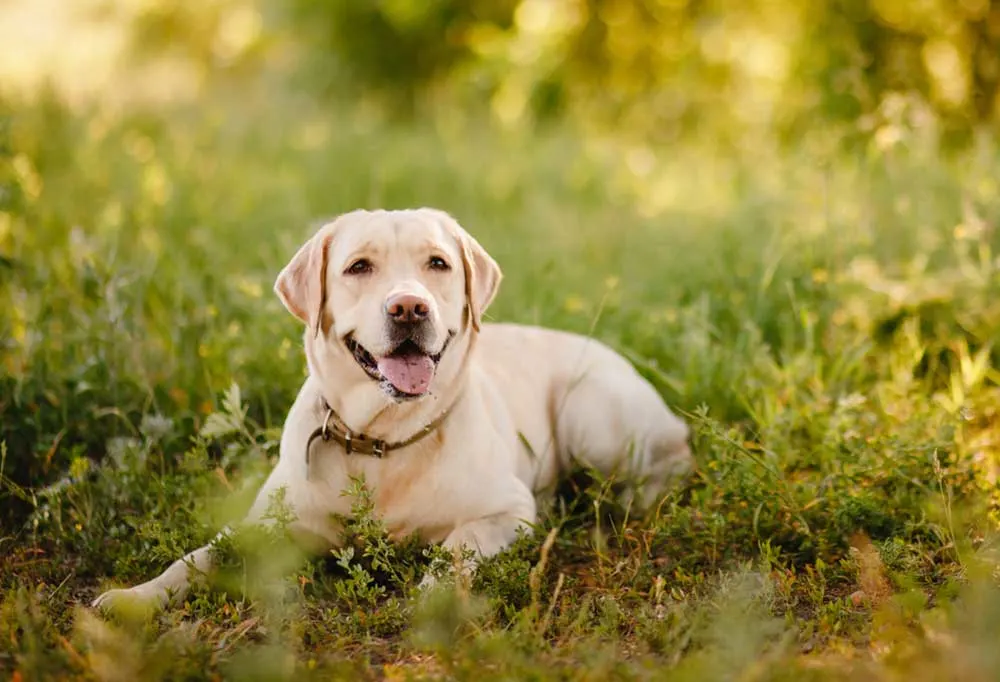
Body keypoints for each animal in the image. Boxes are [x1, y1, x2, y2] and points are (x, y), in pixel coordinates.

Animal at [90, 205, 692, 608]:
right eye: (359, 267)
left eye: (438, 263)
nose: (408, 308)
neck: (380, 441)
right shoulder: (263, 524)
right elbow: (196, 557)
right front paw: (134, 598)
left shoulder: (509, 510)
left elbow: (457, 545)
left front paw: (432, 594)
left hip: (591, 413)